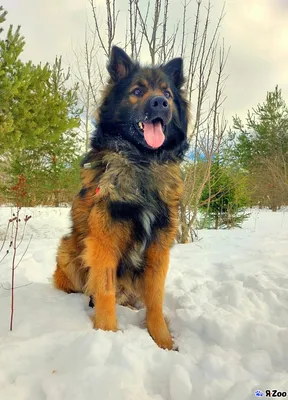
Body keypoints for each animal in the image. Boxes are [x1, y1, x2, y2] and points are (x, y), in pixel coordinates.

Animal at [53, 45, 189, 348]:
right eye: (137, 91)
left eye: (168, 94)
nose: (160, 103)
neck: (142, 163)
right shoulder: (103, 242)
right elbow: (104, 292)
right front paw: (107, 336)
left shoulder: (158, 248)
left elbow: (155, 301)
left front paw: (163, 341)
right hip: (68, 249)